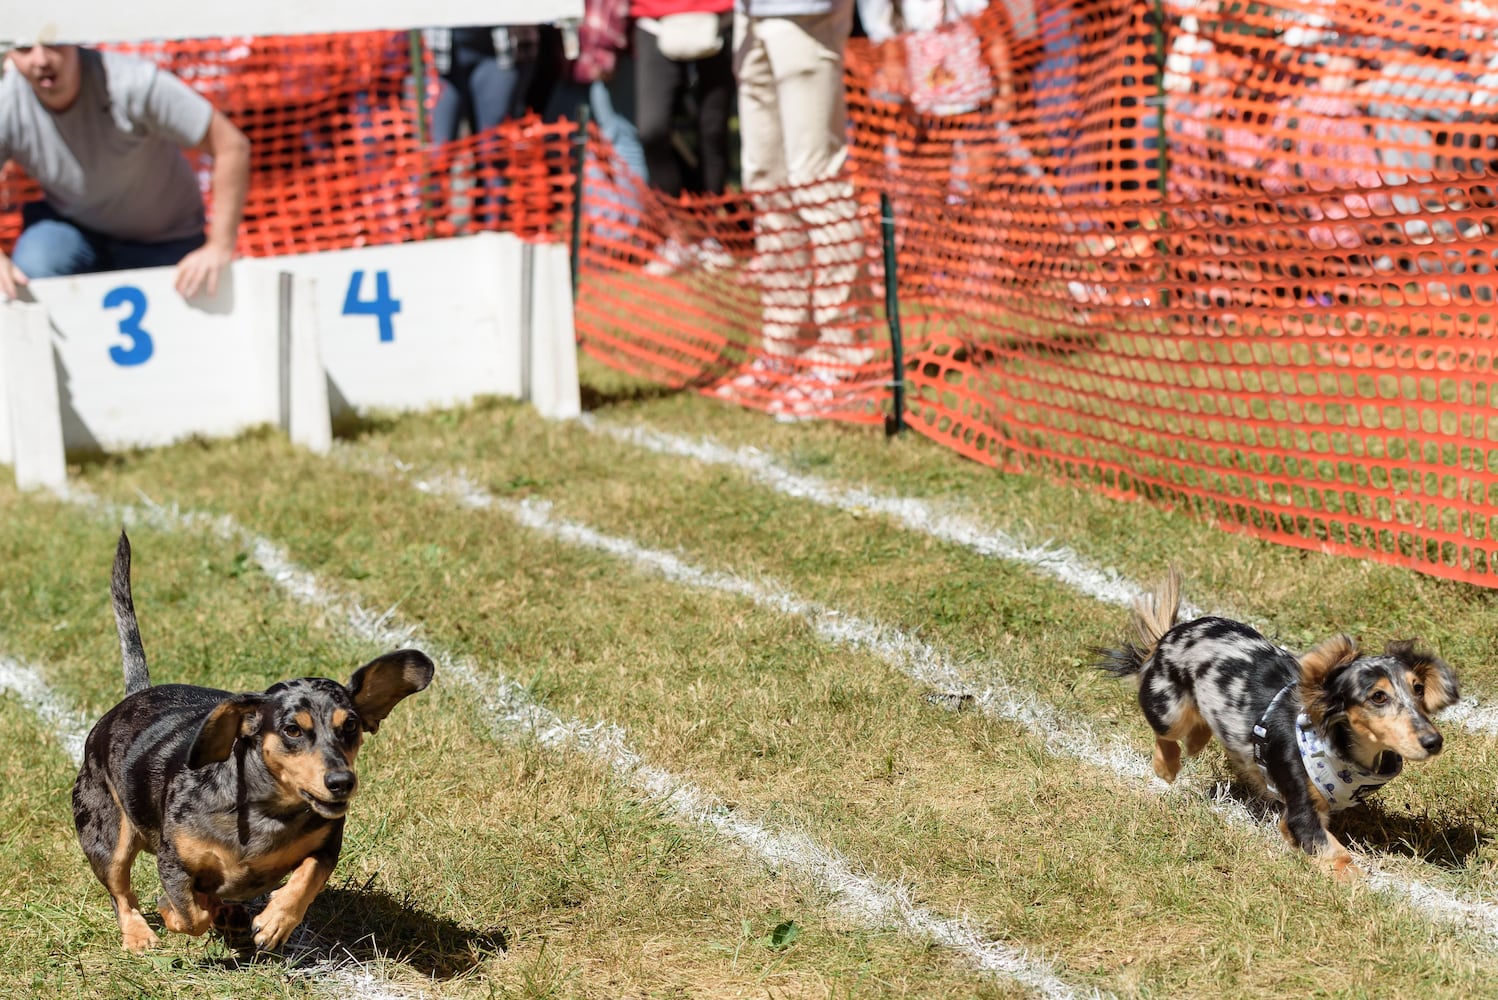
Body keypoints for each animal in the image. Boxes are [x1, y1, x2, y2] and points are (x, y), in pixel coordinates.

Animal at [73, 526, 434, 952]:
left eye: (351, 727)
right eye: (293, 729)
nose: (342, 782)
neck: (268, 812)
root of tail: (133, 696)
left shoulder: (327, 844)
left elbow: (308, 875)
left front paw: (277, 920)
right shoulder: (172, 860)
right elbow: (188, 914)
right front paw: (176, 911)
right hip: (105, 832)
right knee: (120, 889)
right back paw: (140, 934)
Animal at [1096, 568, 1456, 874]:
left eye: (1418, 688)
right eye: (1378, 697)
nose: (1433, 741)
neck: (1334, 745)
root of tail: (1172, 633)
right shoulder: (1302, 810)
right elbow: (1337, 855)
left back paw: (1197, 740)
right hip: (1168, 706)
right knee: (1166, 734)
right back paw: (1167, 766)